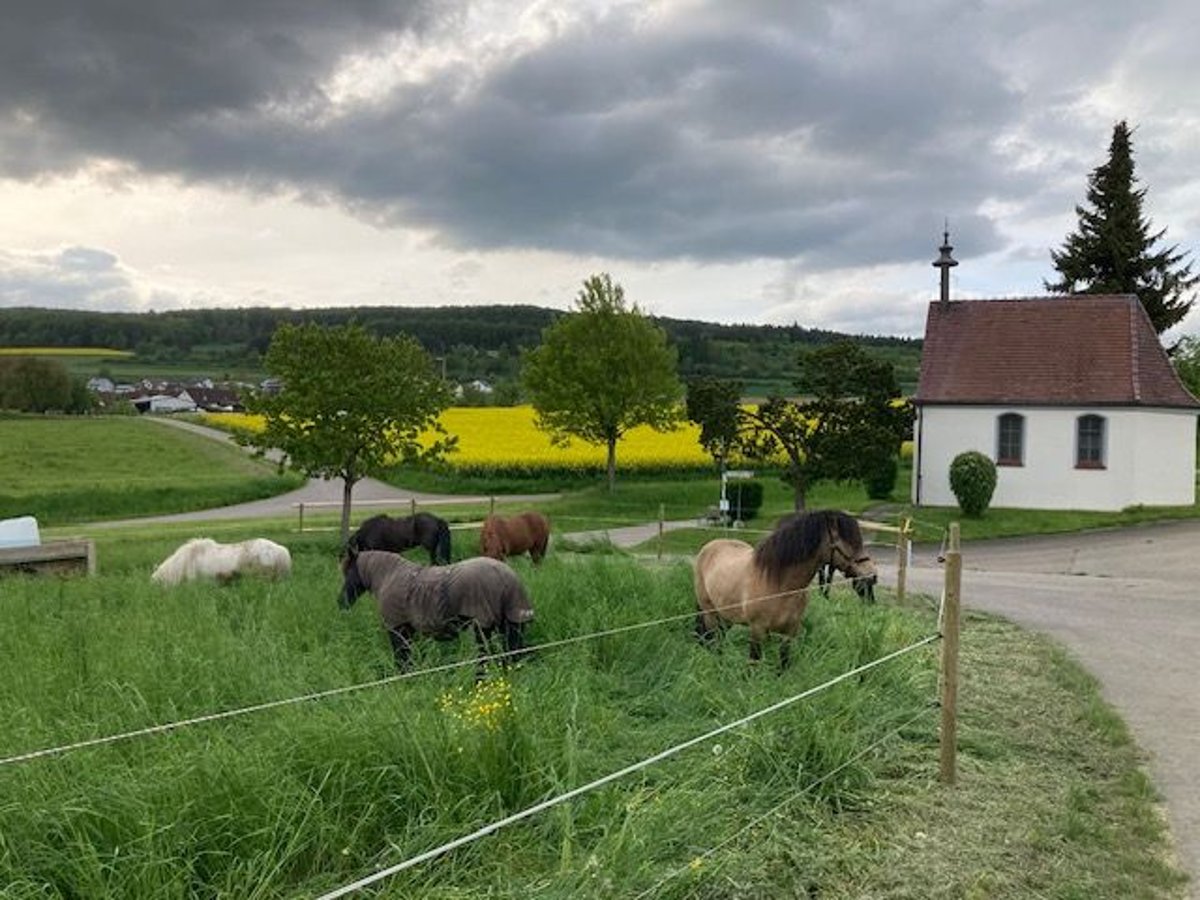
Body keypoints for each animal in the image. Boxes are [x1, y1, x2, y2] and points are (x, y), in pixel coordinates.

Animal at [343, 547, 540, 681]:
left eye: (347, 572)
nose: (341, 602)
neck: (388, 577)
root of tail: (506, 577)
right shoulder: (409, 630)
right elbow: (410, 657)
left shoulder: (397, 629)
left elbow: (402, 658)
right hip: (511, 623)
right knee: (511, 654)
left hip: (482, 628)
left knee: (485, 657)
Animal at [691, 508, 878, 672]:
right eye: (845, 544)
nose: (872, 575)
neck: (780, 585)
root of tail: (710, 547)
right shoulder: (757, 629)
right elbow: (753, 663)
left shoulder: (789, 632)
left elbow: (784, 662)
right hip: (709, 613)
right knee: (713, 641)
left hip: (726, 614)